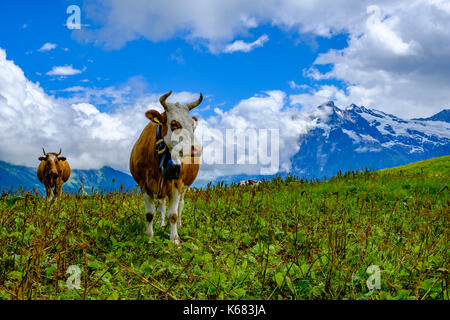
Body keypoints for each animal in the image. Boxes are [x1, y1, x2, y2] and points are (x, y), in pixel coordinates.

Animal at [128, 90, 202, 245]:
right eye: (174, 124)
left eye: (193, 126)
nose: (197, 148)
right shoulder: (144, 184)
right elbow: (150, 213)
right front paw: (149, 236)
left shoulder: (177, 183)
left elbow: (173, 214)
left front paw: (175, 239)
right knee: (161, 204)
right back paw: (161, 224)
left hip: (184, 187)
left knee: (180, 205)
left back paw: (179, 224)